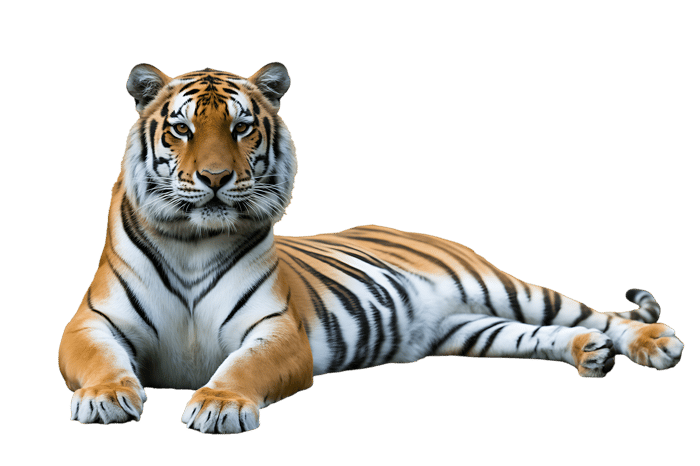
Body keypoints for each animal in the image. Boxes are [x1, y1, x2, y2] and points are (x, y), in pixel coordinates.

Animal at [58, 62, 684, 434]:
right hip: (473, 328)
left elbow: (243, 365)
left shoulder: (277, 331)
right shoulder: (92, 322)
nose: (214, 178)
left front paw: (220, 403)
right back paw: (590, 354)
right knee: (549, 334)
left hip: (504, 289)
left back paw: (654, 344)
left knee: (596, 314)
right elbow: (100, 359)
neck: (193, 240)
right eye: (182, 129)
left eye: (241, 128)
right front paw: (105, 397)